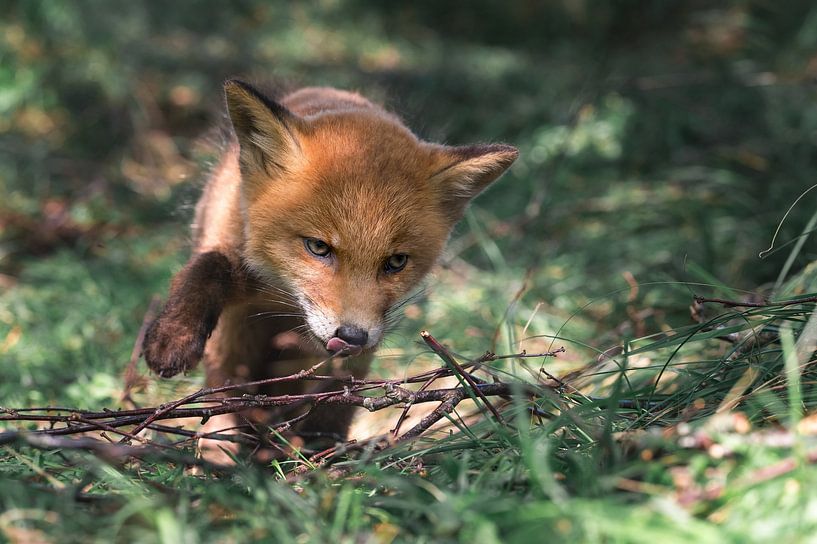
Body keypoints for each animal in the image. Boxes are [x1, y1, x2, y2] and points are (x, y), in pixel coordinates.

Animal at [142, 80, 517, 457]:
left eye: (396, 262)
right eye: (319, 247)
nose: (352, 336)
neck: (281, 298)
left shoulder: (356, 354)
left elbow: (334, 404)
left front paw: (319, 454)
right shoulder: (230, 241)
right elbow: (209, 265)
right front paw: (173, 336)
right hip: (232, 347)